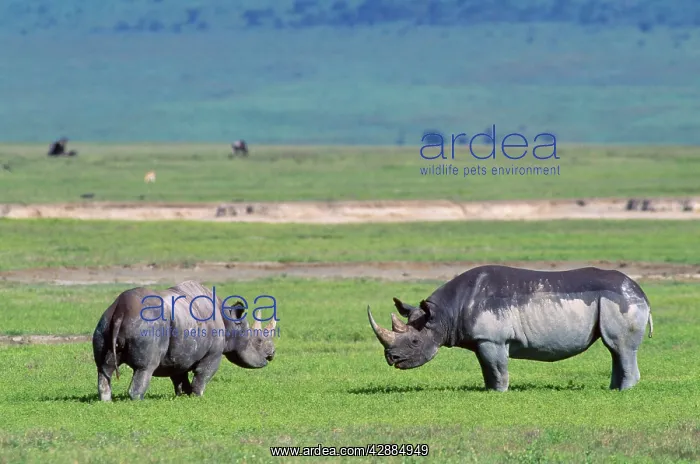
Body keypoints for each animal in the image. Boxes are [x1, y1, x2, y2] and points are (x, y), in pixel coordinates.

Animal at [93, 280, 276, 401]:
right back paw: (138, 400)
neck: (229, 320)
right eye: (258, 341)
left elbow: (179, 376)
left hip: (105, 322)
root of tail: (120, 311)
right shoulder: (213, 353)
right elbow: (203, 374)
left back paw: (106, 401)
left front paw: (183, 396)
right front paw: (197, 397)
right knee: (145, 368)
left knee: (103, 368)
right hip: (148, 324)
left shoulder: (180, 353)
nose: (272, 355)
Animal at [368, 265, 653, 391]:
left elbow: (496, 368)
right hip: (616, 301)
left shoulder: (492, 340)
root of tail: (642, 293)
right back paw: (613, 390)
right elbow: (487, 369)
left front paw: (499, 393)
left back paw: (623, 392)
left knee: (620, 347)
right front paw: (488, 391)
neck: (443, 314)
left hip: (622, 301)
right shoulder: (482, 341)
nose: (391, 358)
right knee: (615, 350)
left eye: (415, 342)